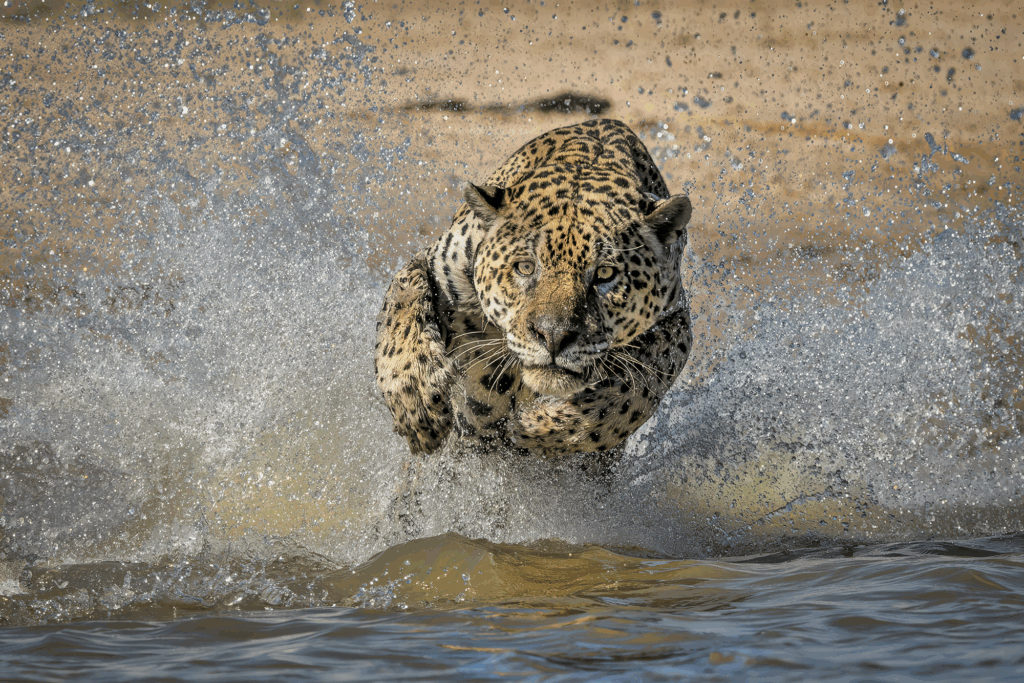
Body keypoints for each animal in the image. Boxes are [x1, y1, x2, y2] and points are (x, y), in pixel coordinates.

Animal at [374, 118, 693, 461]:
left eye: (605, 274)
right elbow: (404, 298)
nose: (553, 336)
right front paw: (417, 404)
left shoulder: (676, 320)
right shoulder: (438, 266)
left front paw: (541, 429)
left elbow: (643, 382)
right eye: (525, 267)